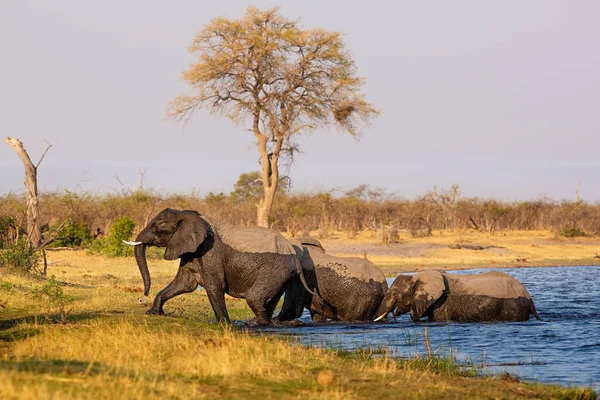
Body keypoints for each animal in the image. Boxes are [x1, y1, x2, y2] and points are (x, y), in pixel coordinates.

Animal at [127, 209, 318, 324]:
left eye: (157, 227)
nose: (144, 294)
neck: (187, 215)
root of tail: (292, 251)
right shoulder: (193, 251)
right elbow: (184, 284)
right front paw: (152, 313)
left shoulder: (210, 251)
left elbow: (213, 286)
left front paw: (225, 324)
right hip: (281, 273)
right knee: (266, 301)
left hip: (276, 269)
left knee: (254, 298)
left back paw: (260, 324)